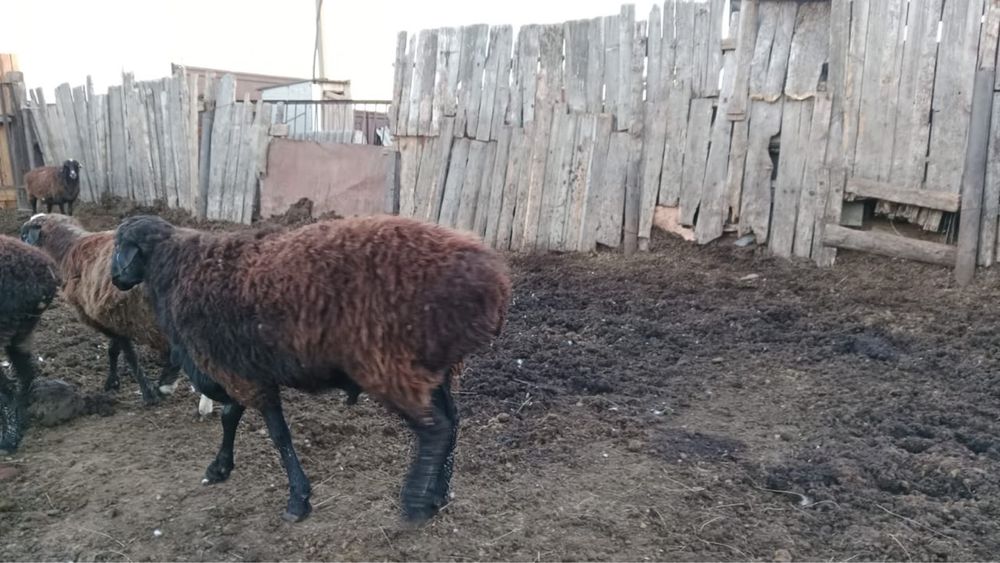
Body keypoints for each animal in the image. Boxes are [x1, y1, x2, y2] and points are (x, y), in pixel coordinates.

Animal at [21, 213, 185, 406]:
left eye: (24, 236)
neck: (66, 249)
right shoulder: (111, 318)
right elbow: (114, 350)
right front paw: (113, 383)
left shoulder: (113, 318)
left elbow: (130, 356)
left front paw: (147, 393)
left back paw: (165, 385)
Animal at [110, 214, 511, 525]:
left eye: (120, 247)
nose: (115, 279)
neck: (178, 271)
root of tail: (494, 281)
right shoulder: (241, 367)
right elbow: (230, 416)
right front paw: (219, 468)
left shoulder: (239, 373)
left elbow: (279, 436)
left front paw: (297, 501)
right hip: (432, 365)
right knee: (452, 422)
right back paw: (438, 495)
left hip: (388, 363)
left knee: (434, 429)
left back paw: (415, 504)